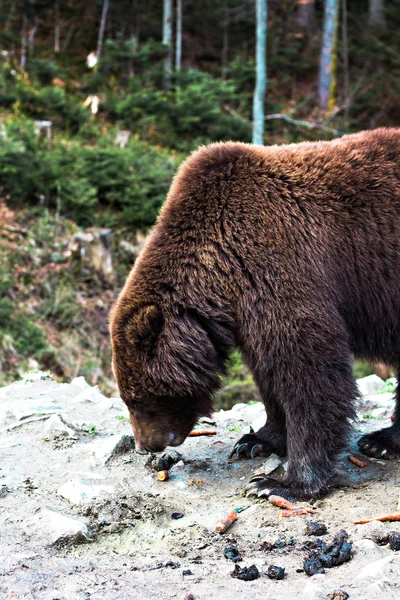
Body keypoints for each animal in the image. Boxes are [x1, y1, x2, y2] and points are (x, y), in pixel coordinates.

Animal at [109, 129, 400, 500]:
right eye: (127, 398)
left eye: (137, 400)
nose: (146, 446)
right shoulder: (247, 311)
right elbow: (267, 373)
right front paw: (256, 441)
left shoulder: (280, 262)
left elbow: (310, 370)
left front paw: (282, 483)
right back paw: (383, 441)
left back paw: (380, 441)